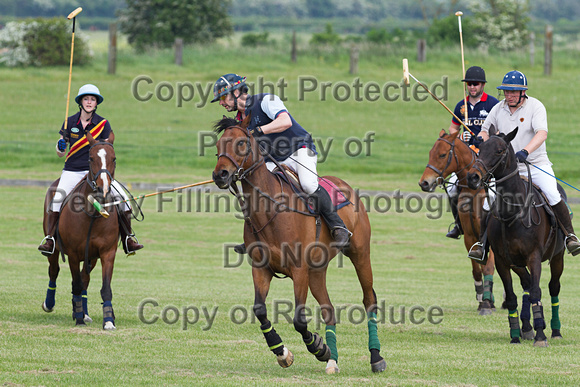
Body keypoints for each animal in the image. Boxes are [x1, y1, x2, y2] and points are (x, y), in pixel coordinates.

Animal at [42, 133, 120, 330]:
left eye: (114, 158)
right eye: (90, 158)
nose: (103, 190)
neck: (93, 212)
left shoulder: (107, 253)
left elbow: (104, 288)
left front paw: (108, 320)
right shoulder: (73, 253)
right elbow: (75, 284)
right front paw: (78, 319)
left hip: (91, 257)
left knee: (84, 279)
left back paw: (84, 312)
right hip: (55, 249)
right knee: (54, 271)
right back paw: (50, 304)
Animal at [212, 116, 386, 376]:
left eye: (241, 142)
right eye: (218, 143)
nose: (220, 175)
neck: (270, 211)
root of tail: (345, 185)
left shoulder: (299, 270)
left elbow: (298, 319)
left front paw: (318, 348)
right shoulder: (261, 268)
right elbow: (260, 310)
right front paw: (283, 352)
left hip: (360, 253)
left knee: (369, 299)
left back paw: (375, 358)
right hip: (317, 270)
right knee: (329, 309)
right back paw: (333, 361)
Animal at [420, 130, 496, 316]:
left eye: (442, 154)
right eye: (430, 153)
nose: (424, 183)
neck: (475, 190)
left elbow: (488, 268)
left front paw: (486, 304)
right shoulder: (469, 236)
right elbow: (477, 270)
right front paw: (481, 299)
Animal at [466, 129, 568, 348]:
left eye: (499, 150)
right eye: (480, 147)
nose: (473, 176)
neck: (513, 213)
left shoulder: (534, 257)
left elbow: (537, 291)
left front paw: (540, 337)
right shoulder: (503, 260)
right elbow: (513, 296)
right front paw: (516, 335)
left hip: (558, 256)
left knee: (553, 287)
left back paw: (554, 330)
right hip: (517, 263)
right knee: (527, 284)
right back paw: (529, 327)